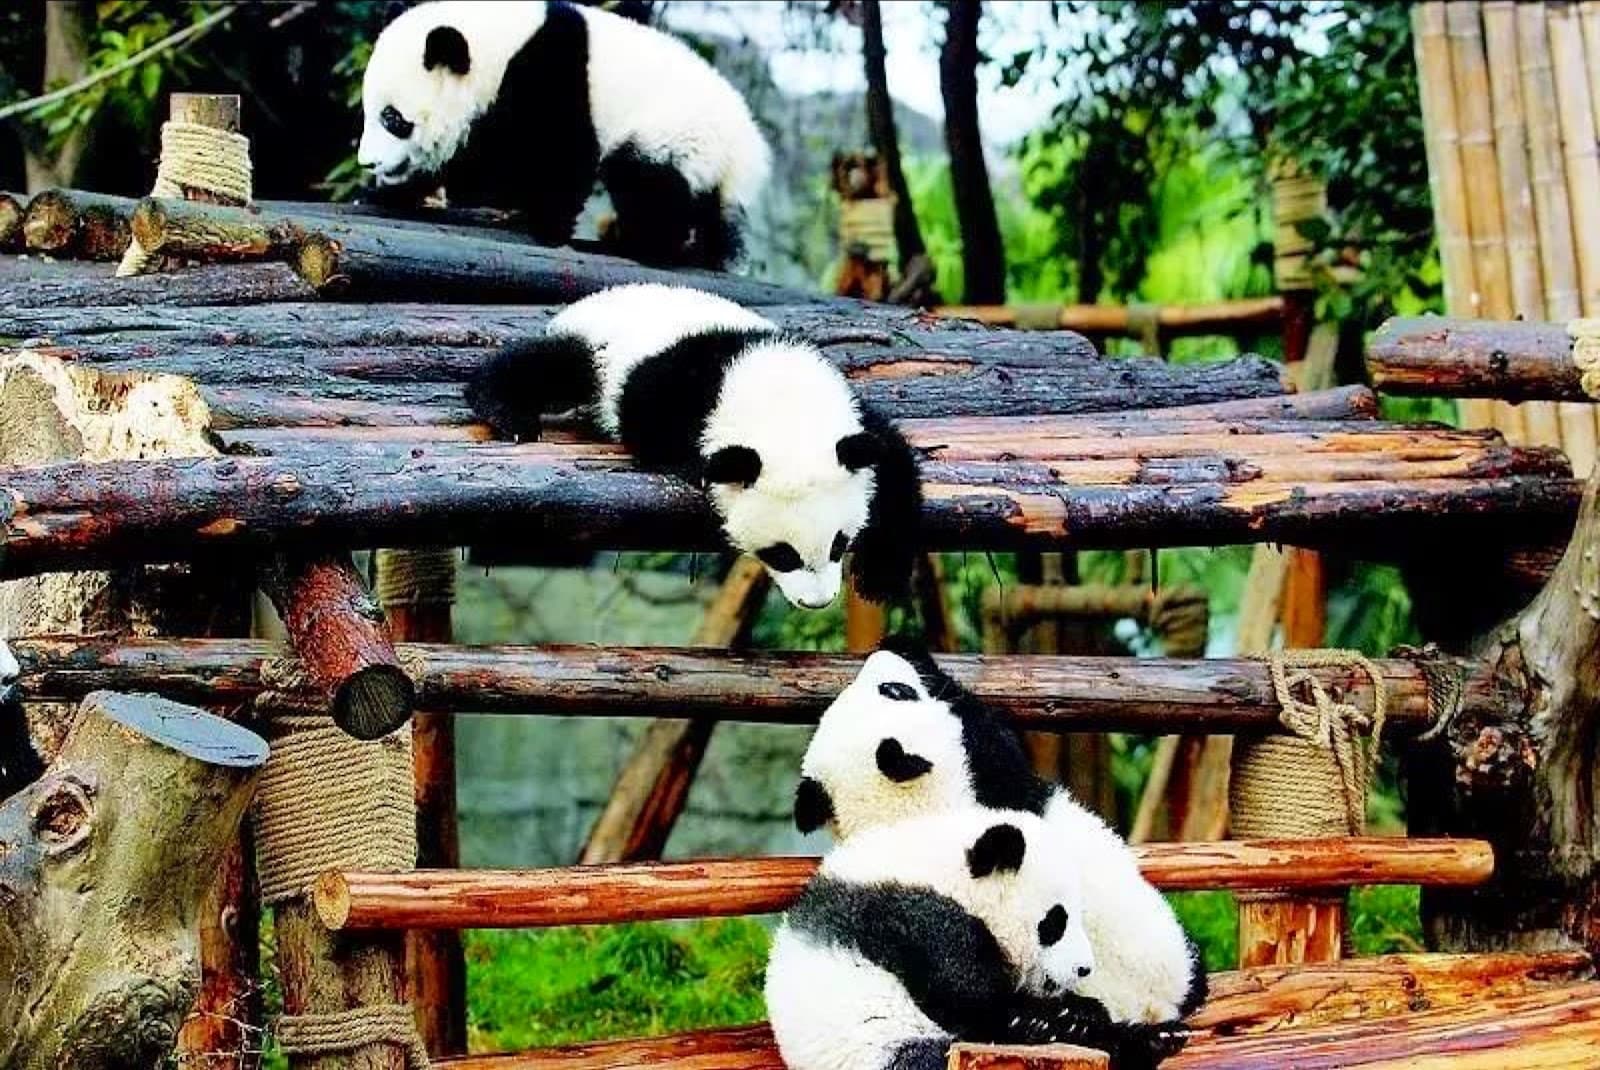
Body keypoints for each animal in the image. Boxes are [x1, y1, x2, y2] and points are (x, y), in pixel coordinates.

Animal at [357, 1, 770, 269]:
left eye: (392, 118)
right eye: (367, 112)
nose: (367, 162)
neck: (498, 47)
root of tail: (746, 149)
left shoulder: (550, 72)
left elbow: (554, 156)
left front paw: (543, 223)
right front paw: (390, 194)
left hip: (675, 132)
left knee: (646, 185)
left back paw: (634, 244)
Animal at [465, 284, 922, 609]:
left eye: (839, 543)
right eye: (782, 555)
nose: (818, 602)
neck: (779, 400)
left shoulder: (850, 419)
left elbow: (892, 459)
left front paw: (882, 575)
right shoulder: (671, 391)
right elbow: (656, 431)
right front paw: (693, 466)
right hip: (597, 349)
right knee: (551, 365)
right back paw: (507, 412)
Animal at [768, 807, 1181, 1070]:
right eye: (1055, 922)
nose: (1084, 969)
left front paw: (1078, 1013)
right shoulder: (916, 919)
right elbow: (968, 998)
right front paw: (1041, 1020)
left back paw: (1155, 1041)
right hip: (877, 1050)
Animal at [793, 641, 1207, 1054]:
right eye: (897, 691)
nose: (881, 660)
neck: (913, 811)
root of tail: (1152, 1005)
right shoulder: (991, 783)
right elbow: (989, 733)